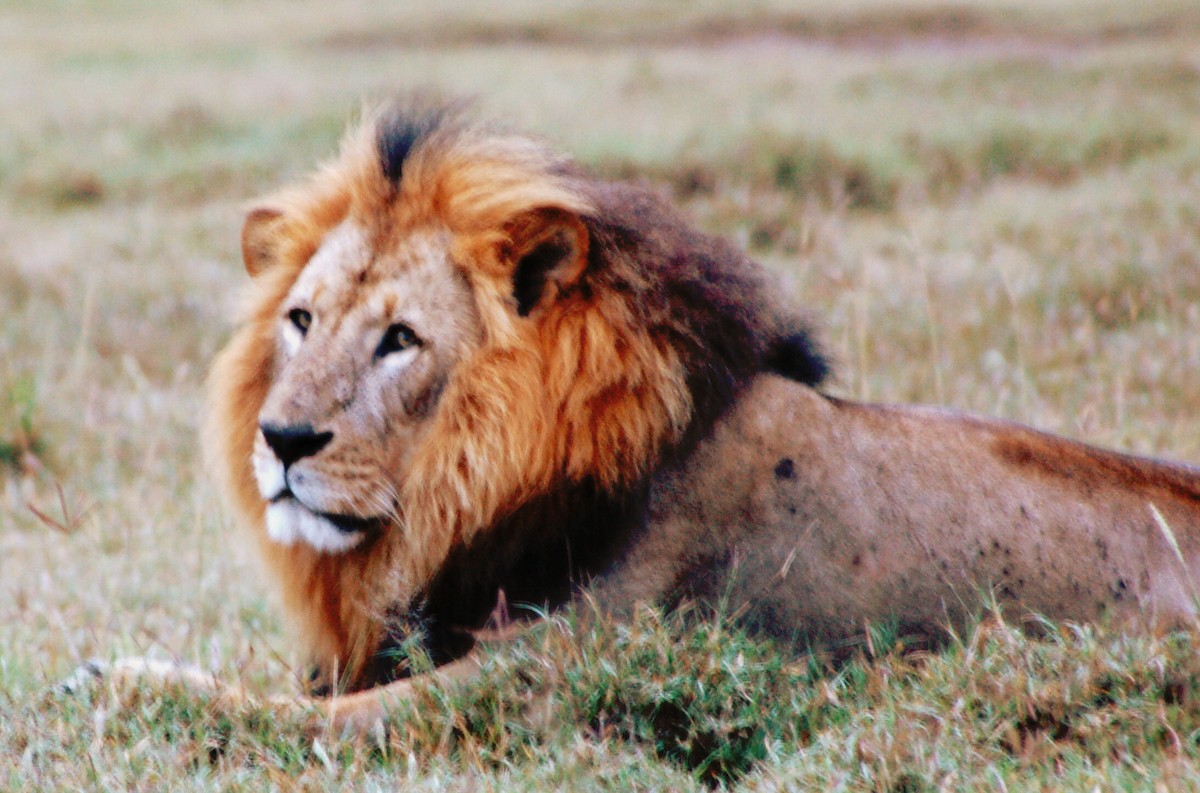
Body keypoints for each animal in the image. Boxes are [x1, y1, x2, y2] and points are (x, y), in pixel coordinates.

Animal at [79, 102, 1200, 732]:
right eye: (302, 320)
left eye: (400, 339)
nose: (282, 442)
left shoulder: (559, 667)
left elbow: (310, 724)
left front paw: (120, 678)